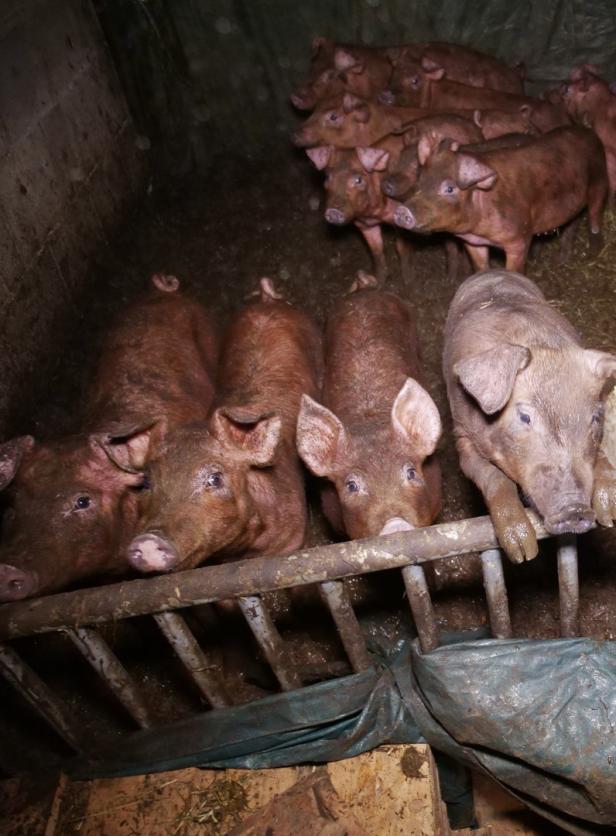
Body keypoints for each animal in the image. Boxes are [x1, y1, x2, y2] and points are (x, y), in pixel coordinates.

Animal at [125, 280, 322, 576]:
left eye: (216, 478)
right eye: (147, 481)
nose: (148, 541)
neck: (243, 549)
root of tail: (266, 301)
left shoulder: (294, 535)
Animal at [392, 124, 608, 272]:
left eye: (450, 188)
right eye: (420, 179)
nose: (402, 210)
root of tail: (589, 131)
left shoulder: (519, 238)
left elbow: (514, 270)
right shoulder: (473, 242)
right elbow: (481, 268)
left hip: (600, 181)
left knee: (595, 219)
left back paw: (593, 254)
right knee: (573, 222)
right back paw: (563, 258)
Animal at [446, 272, 616, 564]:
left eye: (595, 417)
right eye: (525, 417)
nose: (575, 509)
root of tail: (491, 272)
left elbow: (600, 456)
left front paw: (609, 512)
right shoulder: (462, 436)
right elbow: (494, 477)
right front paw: (523, 552)